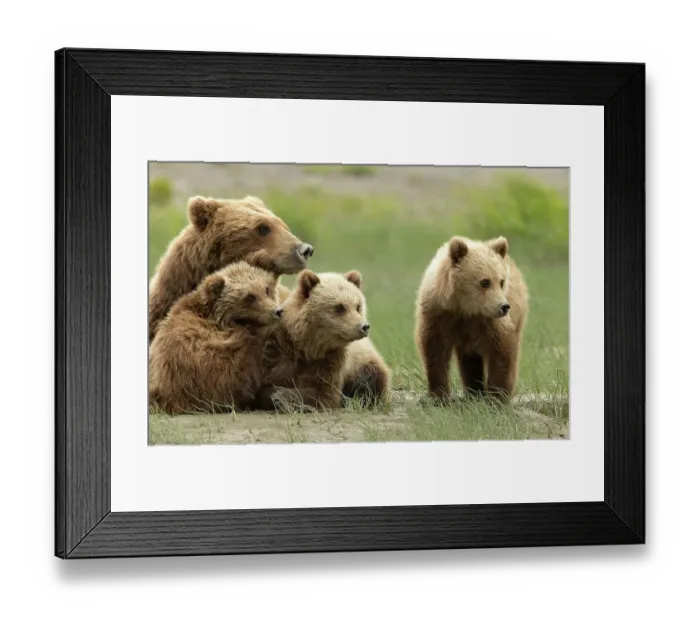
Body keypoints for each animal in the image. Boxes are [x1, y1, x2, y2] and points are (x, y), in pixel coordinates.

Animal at [256, 269, 371, 411]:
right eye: (340, 307)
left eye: (358, 306)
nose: (364, 326)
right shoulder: (277, 350)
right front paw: (274, 394)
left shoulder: (328, 361)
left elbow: (323, 394)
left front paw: (280, 395)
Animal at [415, 235, 529, 403]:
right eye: (485, 282)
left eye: (501, 281)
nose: (504, 306)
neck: (466, 308)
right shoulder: (438, 314)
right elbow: (435, 351)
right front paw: (438, 395)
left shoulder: (491, 322)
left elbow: (502, 352)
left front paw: (497, 397)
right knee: (470, 360)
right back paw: (473, 392)